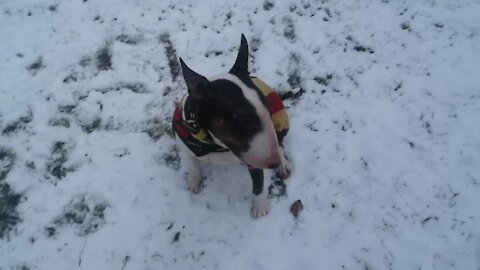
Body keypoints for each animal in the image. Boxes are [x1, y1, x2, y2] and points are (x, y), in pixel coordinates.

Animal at [173, 34, 290, 217]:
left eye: (268, 108)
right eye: (243, 118)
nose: (274, 163)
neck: (213, 144)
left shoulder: (254, 161)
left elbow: (258, 185)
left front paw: (260, 207)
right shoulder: (186, 144)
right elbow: (192, 163)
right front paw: (194, 180)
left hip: (280, 124)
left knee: (281, 144)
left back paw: (284, 164)